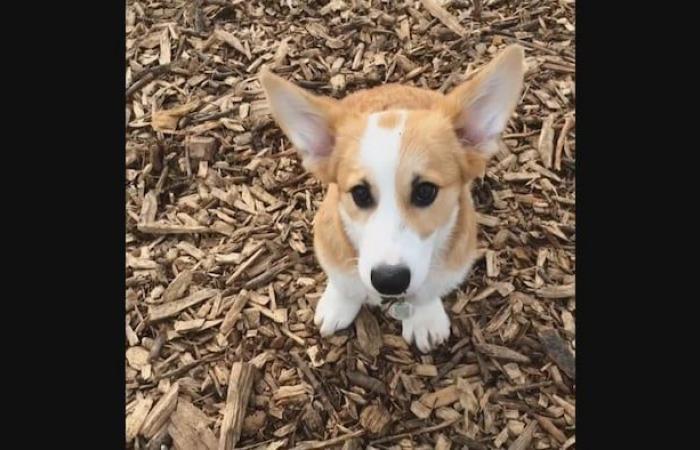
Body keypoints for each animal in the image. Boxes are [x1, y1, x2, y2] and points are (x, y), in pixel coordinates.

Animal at [262, 46, 524, 356]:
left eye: (425, 191)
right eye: (360, 193)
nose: (389, 280)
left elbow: (428, 293)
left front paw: (424, 319)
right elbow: (343, 282)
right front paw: (339, 305)